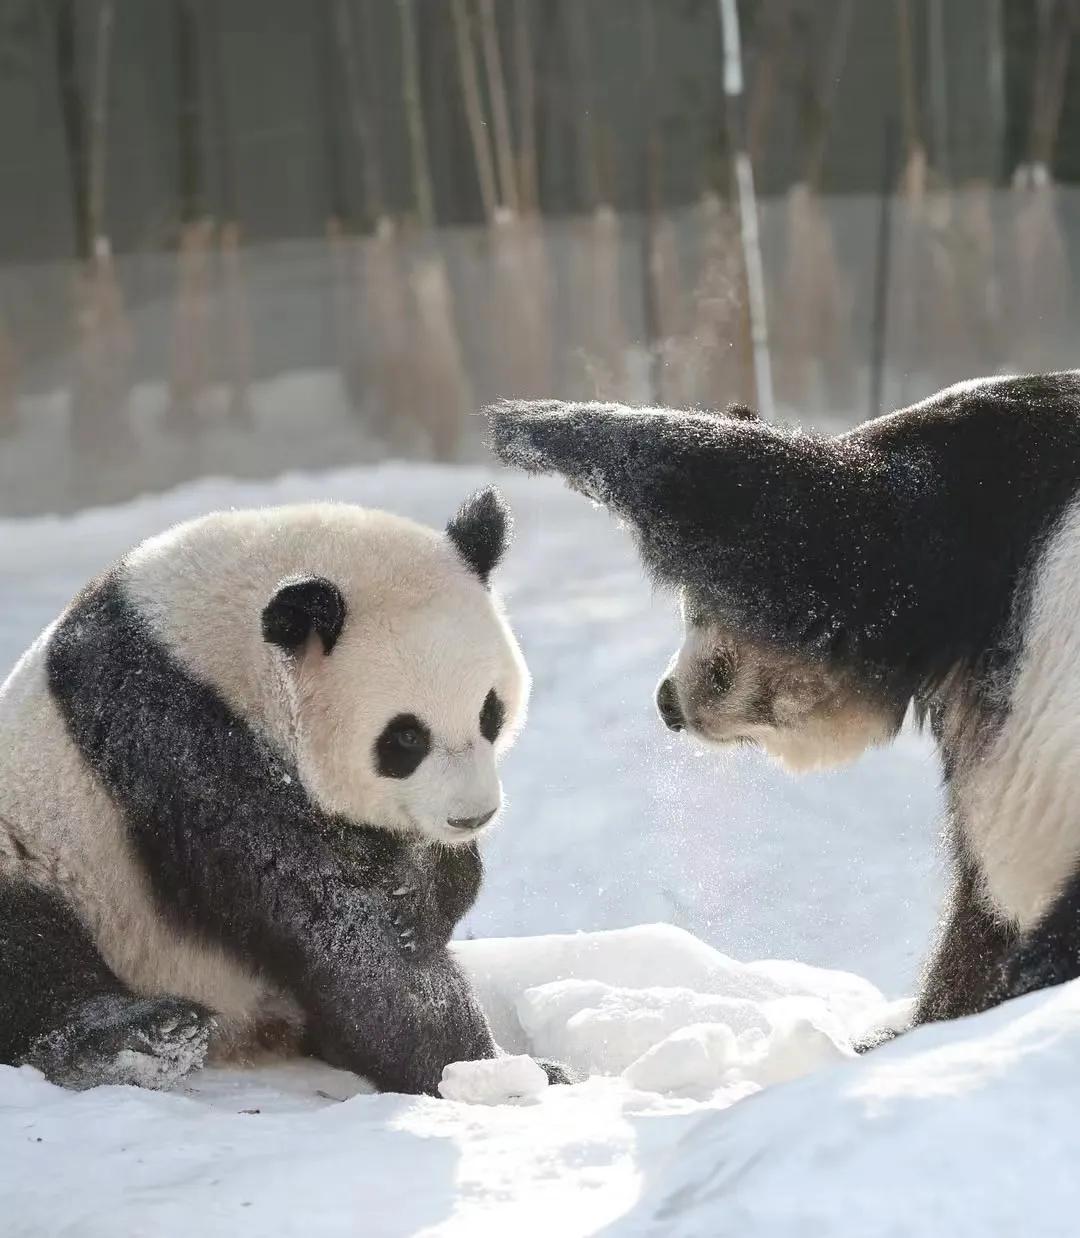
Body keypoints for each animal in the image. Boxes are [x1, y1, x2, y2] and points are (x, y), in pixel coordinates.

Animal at [0, 485, 569, 1094]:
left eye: (490, 711)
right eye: (405, 737)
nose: (472, 817)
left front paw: (420, 901)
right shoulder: (169, 731)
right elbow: (323, 917)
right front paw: (481, 1065)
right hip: (54, 858)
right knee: (32, 952)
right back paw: (141, 1038)